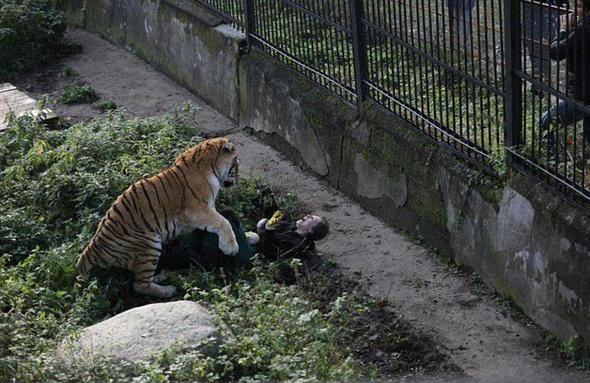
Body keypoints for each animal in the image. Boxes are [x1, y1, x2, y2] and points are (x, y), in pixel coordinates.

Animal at [78, 136, 240, 298]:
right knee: (140, 285)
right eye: (236, 163)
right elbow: (223, 222)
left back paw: (163, 275)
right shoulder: (195, 210)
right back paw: (168, 290)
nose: (238, 180)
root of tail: (93, 246)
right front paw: (231, 248)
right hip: (149, 245)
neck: (210, 164)